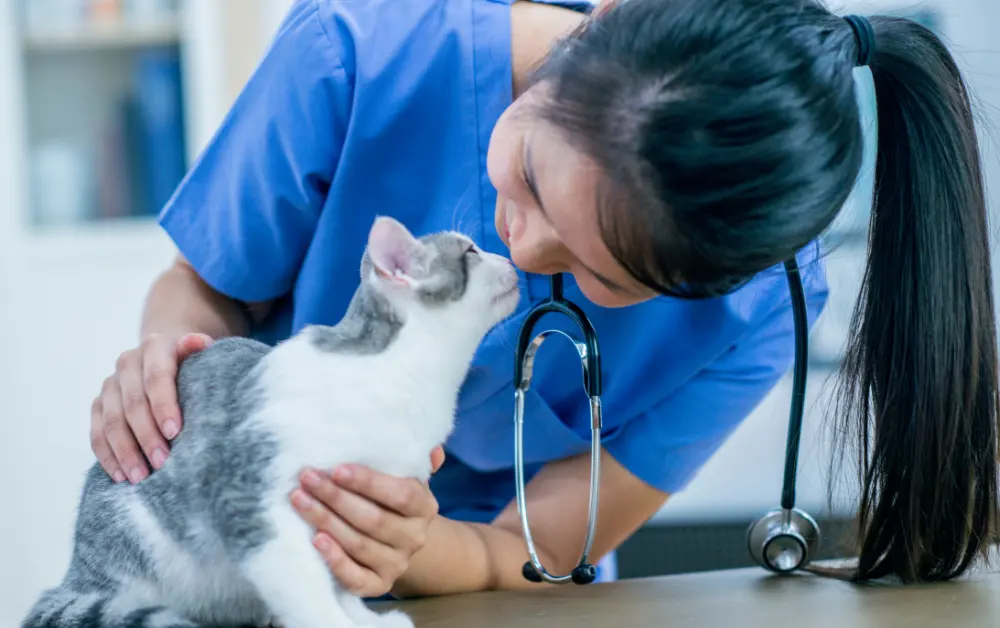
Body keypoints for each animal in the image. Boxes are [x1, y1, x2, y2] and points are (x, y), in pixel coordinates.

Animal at [21, 216, 524, 628]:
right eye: (471, 251)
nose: (507, 253)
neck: (407, 375)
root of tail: (79, 571)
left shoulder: (340, 516)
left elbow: (337, 578)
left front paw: (360, 617)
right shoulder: (253, 498)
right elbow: (303, 581)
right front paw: (333, 622)